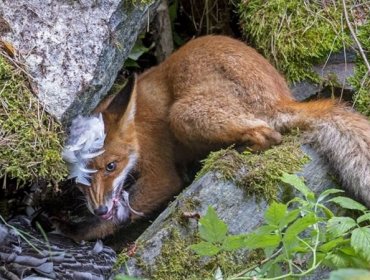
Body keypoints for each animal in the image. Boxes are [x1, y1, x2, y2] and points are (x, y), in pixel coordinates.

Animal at [62, 35, 370, 241]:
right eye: (79, 180)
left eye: (111, 166)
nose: (100, 209)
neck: (138, 127)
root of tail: (281, 97)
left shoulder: (162, 174)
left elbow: (120, 215)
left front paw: (77, 231)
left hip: (183, 114)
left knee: (268, 134)